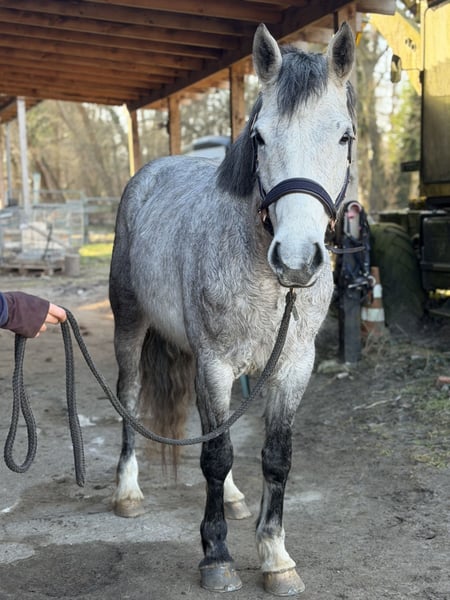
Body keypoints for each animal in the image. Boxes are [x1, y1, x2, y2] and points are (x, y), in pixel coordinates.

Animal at [109, 22, 356, 596]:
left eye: (345, 137)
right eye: (259, 136)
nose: (296, 259)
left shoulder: (294, 366)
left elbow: (275, 457)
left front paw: (275, 557)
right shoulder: (214, 365)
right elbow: (215, 453)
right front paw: (216, 556)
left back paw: (237, 498)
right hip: (129, 324)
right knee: (130, 397)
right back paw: (128, 493)